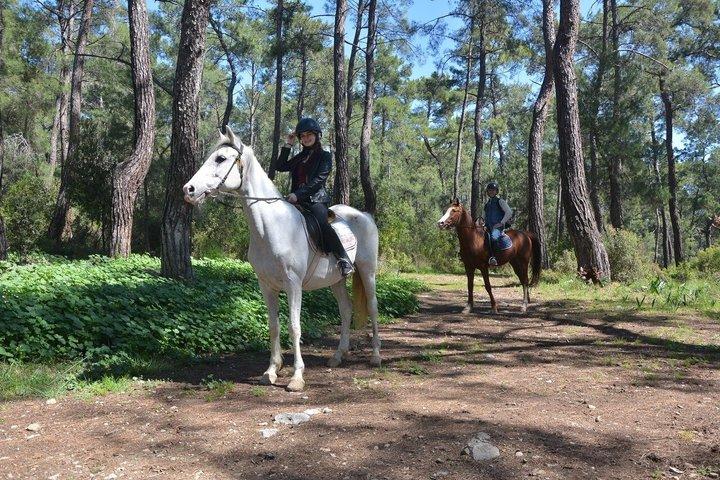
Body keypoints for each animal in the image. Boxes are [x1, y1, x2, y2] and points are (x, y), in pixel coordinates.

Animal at [183, 127, 380, 392]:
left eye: (221, 158)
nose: (189, 190)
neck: (273, 226)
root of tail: (364, 215)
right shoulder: (267, 286)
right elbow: (274, 326)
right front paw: (271, 371)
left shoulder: (293, 284)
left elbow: (294, 327)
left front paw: (296, 377)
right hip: (336, 280)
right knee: (346, 310)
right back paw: (338, 356)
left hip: (368, 272)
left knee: (373, 307)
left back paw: (376, 356)